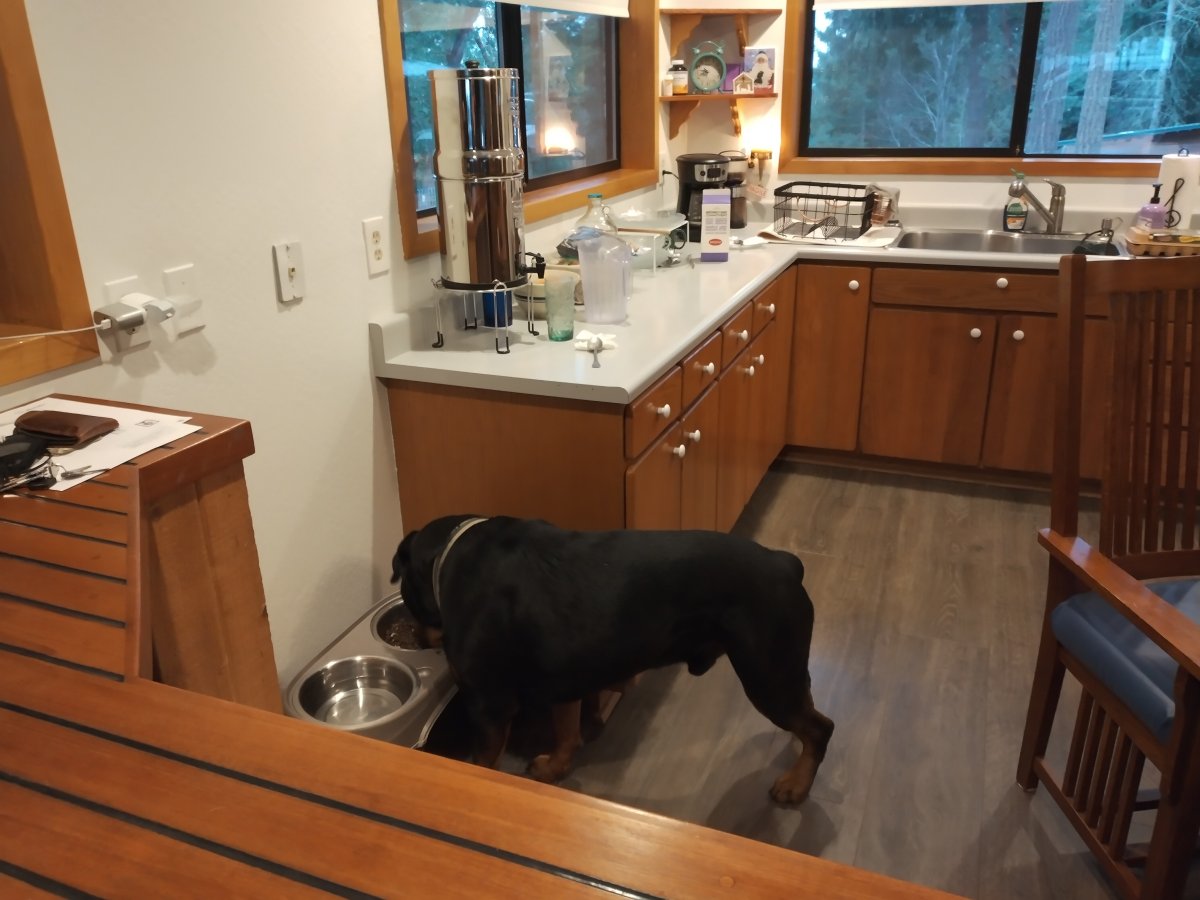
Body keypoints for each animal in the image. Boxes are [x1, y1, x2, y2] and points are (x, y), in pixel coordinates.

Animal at [391, 514, 833, 804]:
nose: (411, 634)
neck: (449, 558)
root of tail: (785, 563)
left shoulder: (488, 705)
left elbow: (484, 762)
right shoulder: (566, 679)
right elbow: (567, 733)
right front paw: (553, 769)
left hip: (767, 675)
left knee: (821, 728)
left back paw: (795, 785)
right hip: (783, 670)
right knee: (809, 710)